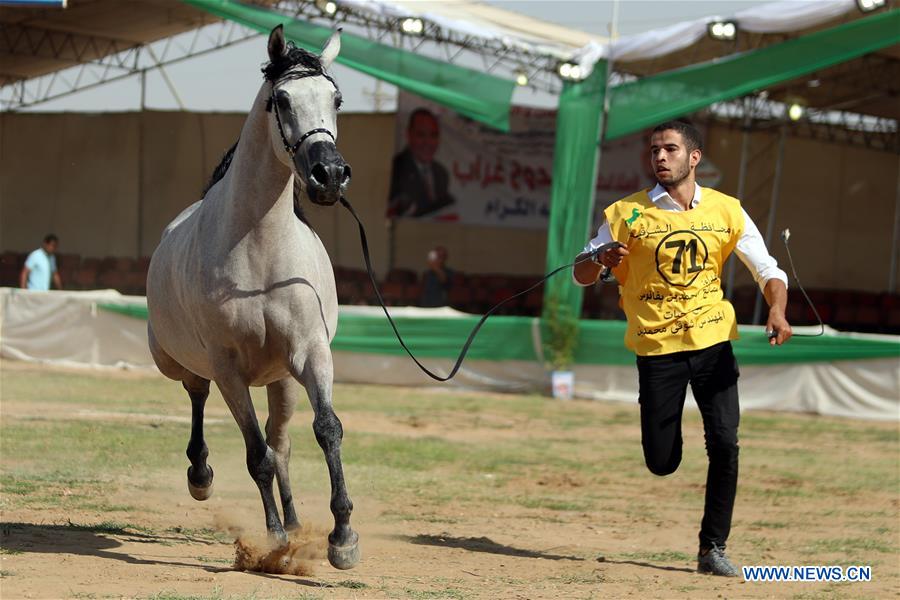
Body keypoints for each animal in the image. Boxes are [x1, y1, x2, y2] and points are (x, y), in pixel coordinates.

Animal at [146, 25, 358, 570]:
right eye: (281, 100)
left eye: (336, 99)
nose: (330, 175)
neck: (261, 252)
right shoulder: (228, 368)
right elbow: (255, 454)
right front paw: (275, 541)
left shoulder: (310, 354)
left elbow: (326, 430)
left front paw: (342, 537)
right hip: (183, 363)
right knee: (198, 395)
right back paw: (202, 477)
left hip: (281, 379)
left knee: (282, 441)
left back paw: (299, 521)